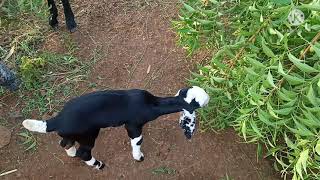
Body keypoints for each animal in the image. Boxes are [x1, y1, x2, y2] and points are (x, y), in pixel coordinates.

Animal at [21, 86, 209, 169]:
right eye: (201, 102)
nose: (211, 98)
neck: (152, 103)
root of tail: (57, 120)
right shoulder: (133, 126)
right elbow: (137, 142)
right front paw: (138, 157)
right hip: (89, 136)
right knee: (84, 152)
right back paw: (97, 164)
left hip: (73, 134)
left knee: (65, 143)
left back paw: (71, 153)